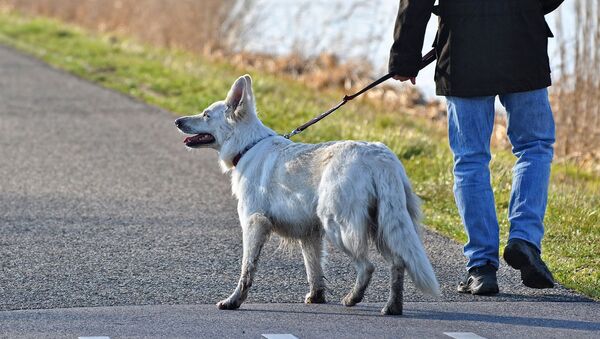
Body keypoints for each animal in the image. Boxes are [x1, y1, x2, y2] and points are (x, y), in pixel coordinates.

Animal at [176, 74, 438, 316]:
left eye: (206, 114)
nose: (177, 121)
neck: (248, 146)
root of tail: (380, 157)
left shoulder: (254, 224)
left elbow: (247, 269)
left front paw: (234, 301)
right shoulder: (309, 234)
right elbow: (314, 270)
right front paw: (317, 297)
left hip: (339, 227)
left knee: (368, 266)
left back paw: (353, 298)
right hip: (383, 226)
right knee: (398, 263)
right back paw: (392, 307)